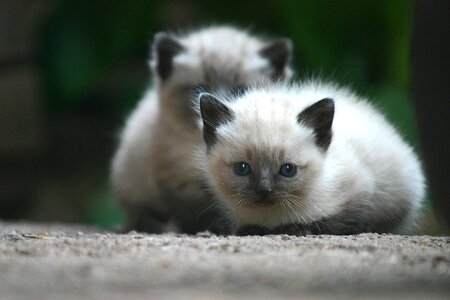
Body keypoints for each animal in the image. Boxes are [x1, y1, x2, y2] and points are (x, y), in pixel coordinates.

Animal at [109, 24, 292, 233]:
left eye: (241, 91)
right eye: (200, 89)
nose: (215, 103)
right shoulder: (181, 180)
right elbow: (199, 210)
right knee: (141, 216)